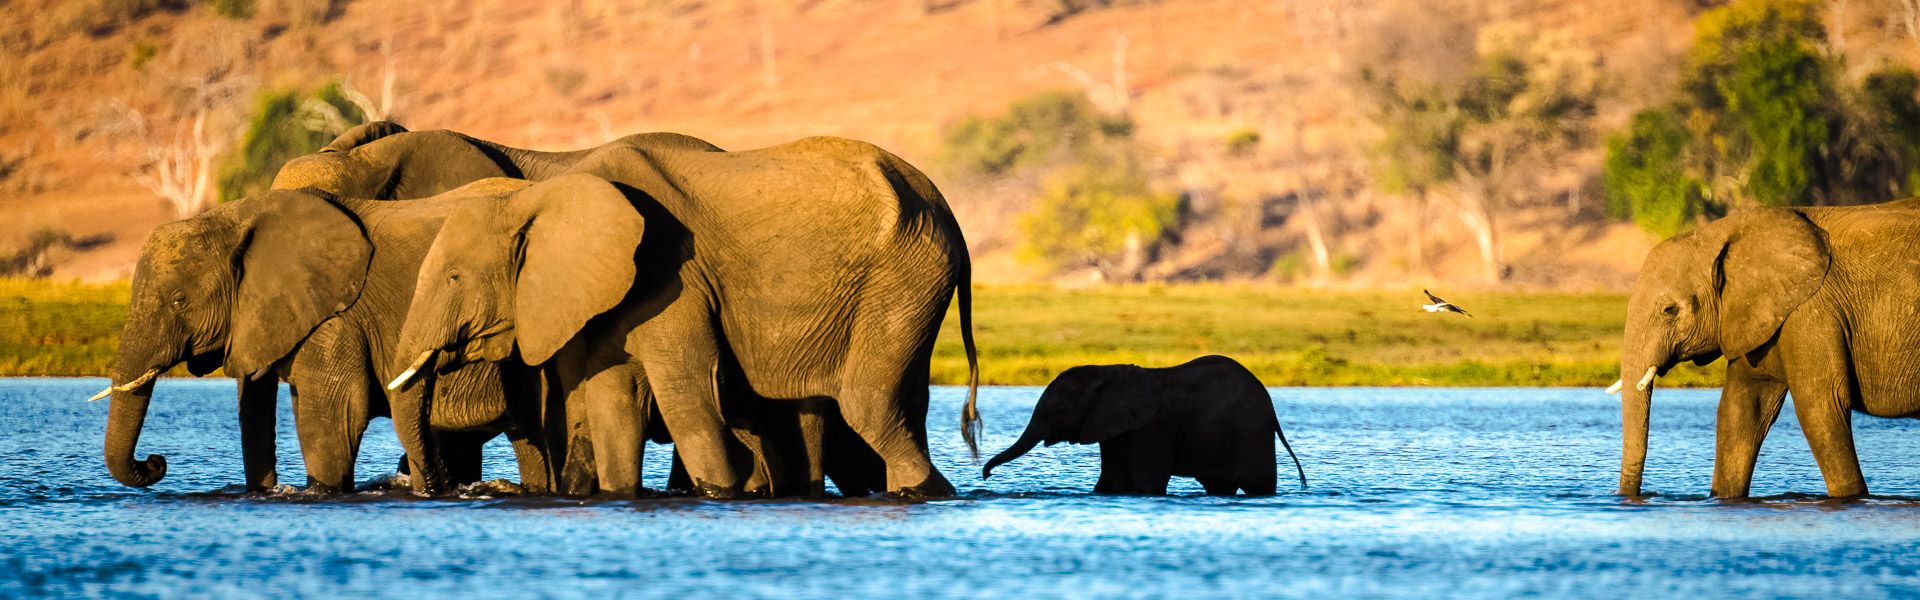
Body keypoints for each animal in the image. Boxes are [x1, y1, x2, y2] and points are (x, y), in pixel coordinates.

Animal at [391, 138, 990, 500]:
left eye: (453, 278)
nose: (434, 491)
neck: (539, 194)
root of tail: (948, 211)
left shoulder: (670, 272)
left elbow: (688, 395)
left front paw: (718, 494)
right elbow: (612, 401)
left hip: (902, 277)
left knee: (868, 405)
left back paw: (928, 494)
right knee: (904, 404)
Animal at [975, 355, 1305, 496]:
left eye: (1058, 410)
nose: (986, 474)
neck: (1105, 372)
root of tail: (1271, 405)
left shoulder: (1151, 428)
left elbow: (1149, 482)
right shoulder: (1112, 427)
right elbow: (1110, 481)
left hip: (1251, 430)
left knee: (1256, 483)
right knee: (1219, 484)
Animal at [1620, 199, 1920, 500]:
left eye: (1669, 310)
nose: (1632, 497)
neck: (1721, 233)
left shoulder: (1811, 313)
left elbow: (1821, 406)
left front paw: (1853, 499)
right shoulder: (1754, 315)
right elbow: (1739, 411)